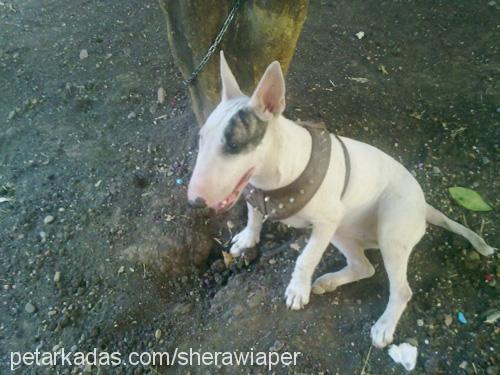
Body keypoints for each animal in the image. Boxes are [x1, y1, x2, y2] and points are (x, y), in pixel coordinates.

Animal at [188, 51, 496, 348]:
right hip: (342, 231)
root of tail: (424, 206)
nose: (194, 202)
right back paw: (329, 282)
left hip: (388, 231)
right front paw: (247, 239)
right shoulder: (256, 192)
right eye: (201, 138)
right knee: (364, 266)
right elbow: (253, 215)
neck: (277, 172)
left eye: (233, 145)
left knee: (401, 289)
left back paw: (384, 326)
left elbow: (306, 257)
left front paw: (297, 289)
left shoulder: (325, 222)